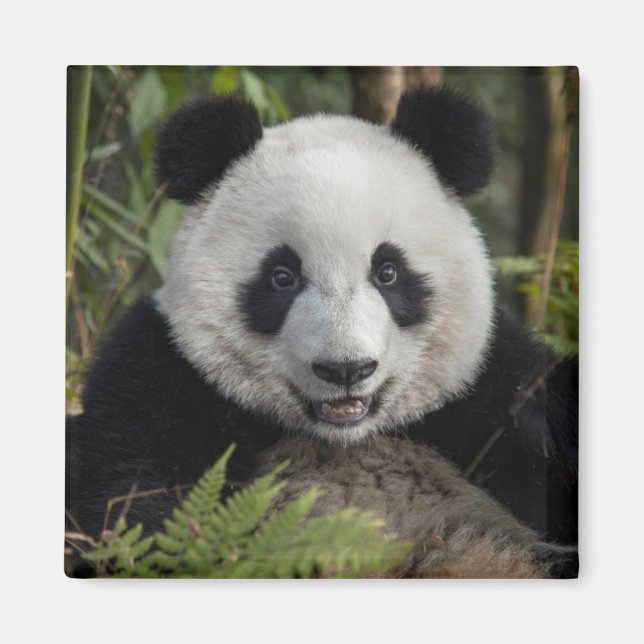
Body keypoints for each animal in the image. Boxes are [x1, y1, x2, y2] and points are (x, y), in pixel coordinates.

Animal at [65, 86, 578, 577]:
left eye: (388, 272)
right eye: (282, 276)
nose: (346, 369)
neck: (344, 438)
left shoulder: (482, 386)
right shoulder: (161, 379)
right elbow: (129, 504)